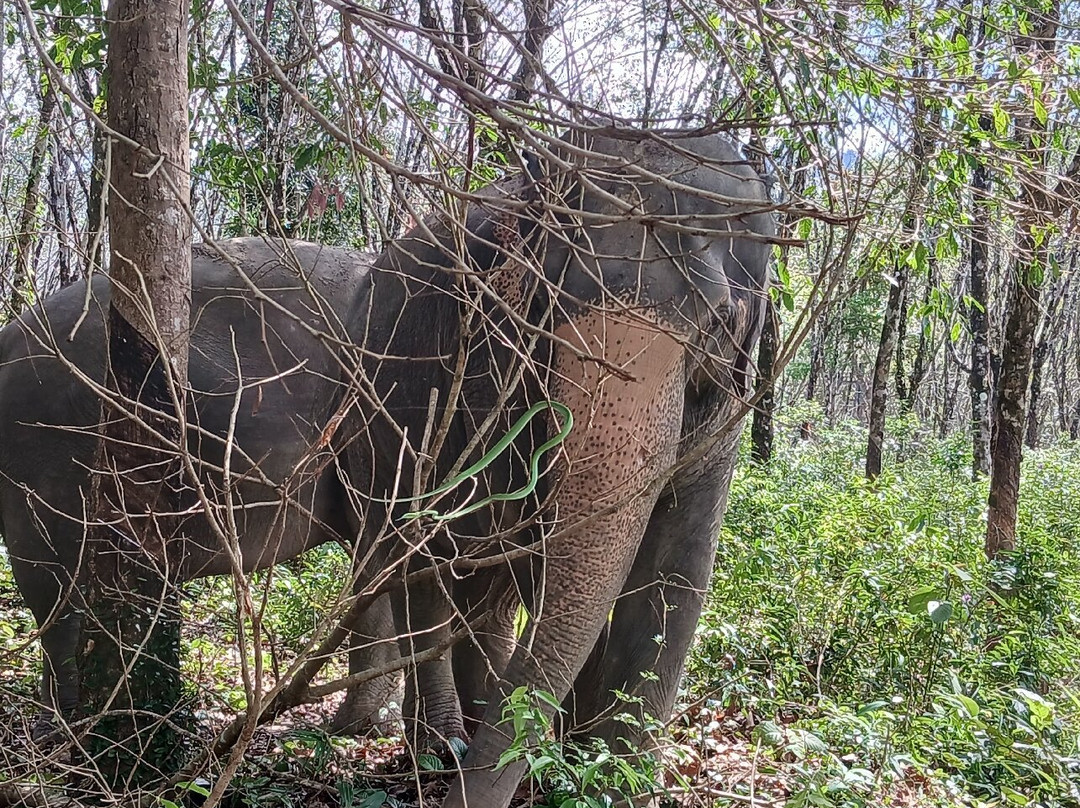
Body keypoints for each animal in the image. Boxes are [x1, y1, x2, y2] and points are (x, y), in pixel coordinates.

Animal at [338, 127, 774, 808]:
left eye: (720, 320)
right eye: (548, 302)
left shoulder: (728, 410)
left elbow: (675, 568)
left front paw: (606, 779)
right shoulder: (490, 365)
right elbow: (538, 553)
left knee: (479, 589)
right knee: (421, 564)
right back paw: (440, 748)